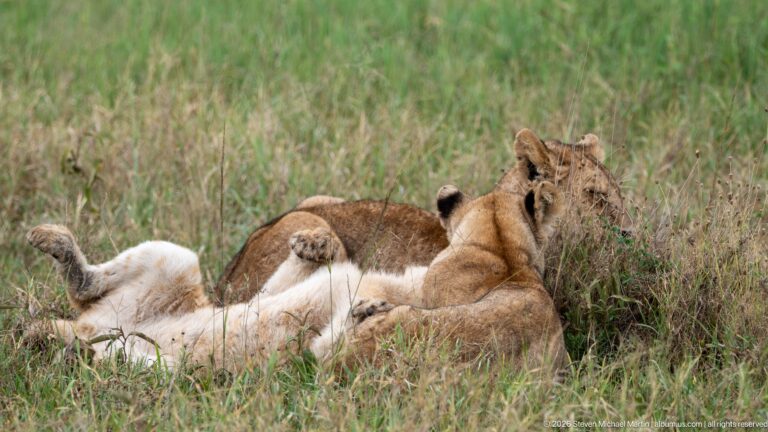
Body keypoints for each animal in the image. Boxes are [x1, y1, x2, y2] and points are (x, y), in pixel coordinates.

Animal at [24, 174, 565, 373]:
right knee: (84, 293)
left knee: (84, 323)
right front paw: (319, 252)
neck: (506, 257)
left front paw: (364, 302)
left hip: (154, 342)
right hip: (175, 262)